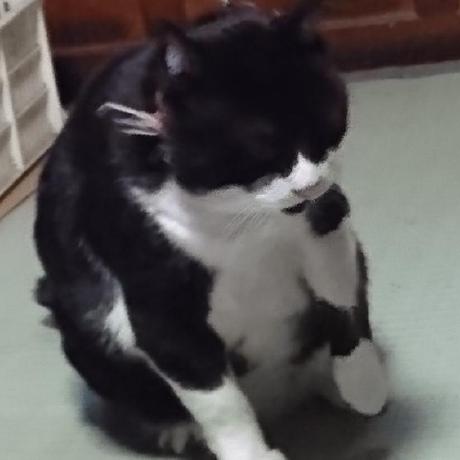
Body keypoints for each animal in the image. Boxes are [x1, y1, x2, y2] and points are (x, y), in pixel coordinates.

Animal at [34, 3, 388, 459]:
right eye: (259, 144)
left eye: (325, 122)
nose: (308, 184)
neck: (239, 216)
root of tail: (279, 399)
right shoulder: (158, 298)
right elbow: (218, 399)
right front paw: (251, 454)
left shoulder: (326, 219)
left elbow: (343, 295)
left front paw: (364, 381)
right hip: (89, 339)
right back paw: (180, 429)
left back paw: (337, 385)